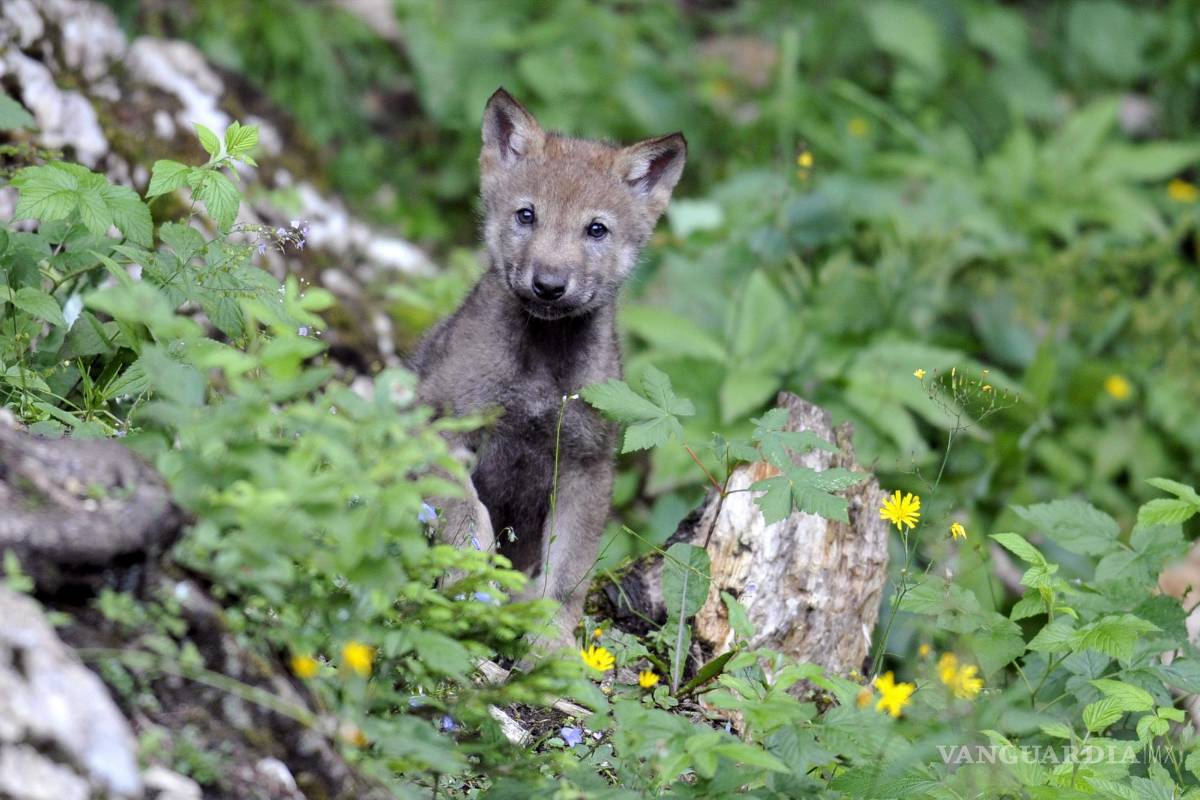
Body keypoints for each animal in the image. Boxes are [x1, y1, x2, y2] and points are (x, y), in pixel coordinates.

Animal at [413, 88, 686, 648]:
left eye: (596, 229)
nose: (549, 285)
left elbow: (566, 573)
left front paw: (551, 643)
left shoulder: (586, 465)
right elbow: (465, 512)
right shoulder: (442, 421)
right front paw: (471, 580)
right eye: (527, 215)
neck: (539, 369)